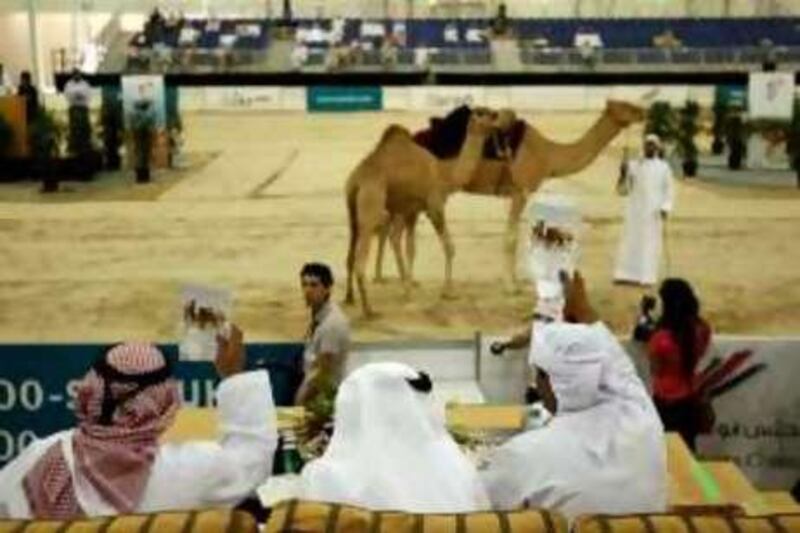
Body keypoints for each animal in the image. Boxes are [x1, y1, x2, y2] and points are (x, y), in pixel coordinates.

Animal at [346, 107, 496, 316]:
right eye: (483, 113)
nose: (497, 118)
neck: (445, 174)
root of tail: (357, 180)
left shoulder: (412, 210)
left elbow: (411, 248)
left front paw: (408, 290)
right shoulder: (435, 206)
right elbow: (449, 247)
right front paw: (448, 292)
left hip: (353, 211)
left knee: (351, 254)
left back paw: (349, 298)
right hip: (372, 203)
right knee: (362, 258)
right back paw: (369, 310)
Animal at [374, 101, 644, 288]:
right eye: (626, 107)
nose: (643, 111)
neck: (548, 156)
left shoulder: (512, 194)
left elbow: (511, 236)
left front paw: (513, 281)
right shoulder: (520, 192)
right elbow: (511, 238)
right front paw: (511, 286)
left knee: (391, 230)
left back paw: (400, 279)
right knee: (394, 230)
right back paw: (403, 280)